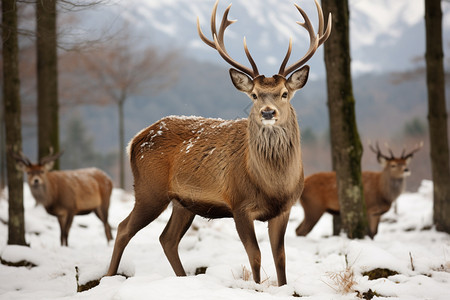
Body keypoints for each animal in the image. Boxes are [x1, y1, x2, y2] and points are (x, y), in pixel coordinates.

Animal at [104, 0, 330, 286]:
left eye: (284, 93)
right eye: (254, 94)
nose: (268, 112)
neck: (273, 185)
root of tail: (134, 140)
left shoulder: (285, 208)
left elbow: (280, 258)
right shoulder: (239, 205)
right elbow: (255, 255)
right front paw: (256, 287)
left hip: (183, 202)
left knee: (167, 238)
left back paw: (182, 278)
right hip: (149, 190)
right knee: (124, 228)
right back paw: (108, 277)